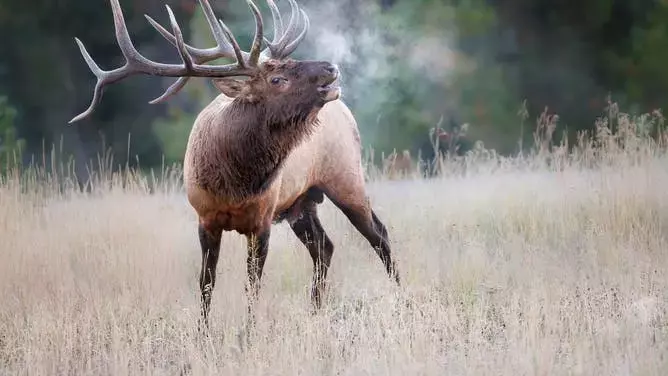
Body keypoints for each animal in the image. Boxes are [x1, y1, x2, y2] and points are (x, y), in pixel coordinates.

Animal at [70, 0, 400, 326]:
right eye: (277, 79)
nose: (330, 67)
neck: (234, 183)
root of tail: (345, 110)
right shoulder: (205, 218)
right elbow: (206, 282)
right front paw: (203, 332)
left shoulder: (262, 221)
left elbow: (252, 285)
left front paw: (249, 332)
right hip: (301, 203)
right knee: (324, 246)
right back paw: (315, 311)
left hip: (346, 177)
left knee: (379, 235)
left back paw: (401, 301)